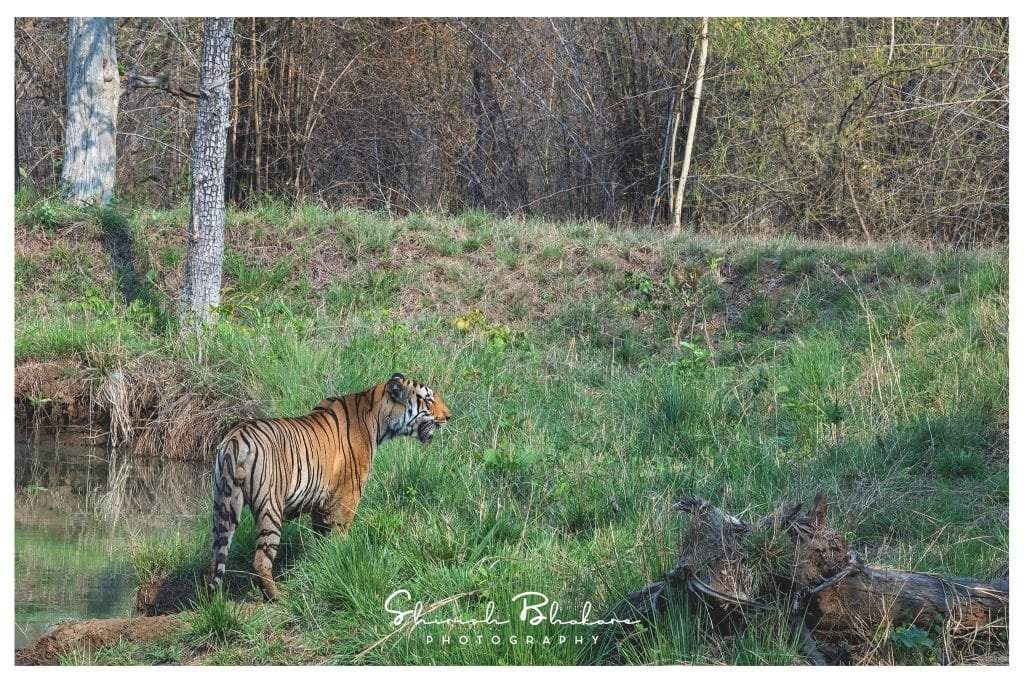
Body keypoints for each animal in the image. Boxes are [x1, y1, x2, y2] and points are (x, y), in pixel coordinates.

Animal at [208, 372, 451, 599]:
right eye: (428, 400)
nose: (449, 416)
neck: (377, 416)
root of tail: (236, 438)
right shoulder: (348, 495)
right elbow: (341, 533)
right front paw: (342, 559)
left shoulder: (321, 503)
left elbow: (321, 537)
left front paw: (323, 561)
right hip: (269, 507)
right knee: (261, 560)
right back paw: (277, 596)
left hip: (223, 505)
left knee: (216, 558)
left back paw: (213, 598)